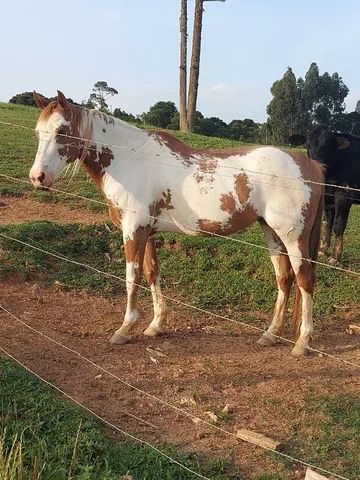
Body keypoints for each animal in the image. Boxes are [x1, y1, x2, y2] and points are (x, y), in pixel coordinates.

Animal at [30, 90, 324, 354]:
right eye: (38, 132)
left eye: (62, 131)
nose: (37, 177)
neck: (131, 160)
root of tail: (309, 165)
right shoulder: (147, 232)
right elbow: (152, 273)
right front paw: (155, 325)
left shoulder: (133, 231)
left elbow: (131, 278)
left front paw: (125, 329)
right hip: (271, 232)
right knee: (284, 279)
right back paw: (270, 335)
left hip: (293, 237)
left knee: (305, 280)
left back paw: (302, 342)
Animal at [290, 125, 360, 264]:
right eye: (308, 144)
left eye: (327, 146)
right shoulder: (328, 198)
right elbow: (327, 223)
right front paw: (323, 249)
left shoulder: (344, 195)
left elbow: (338, 225)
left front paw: (335, 257)